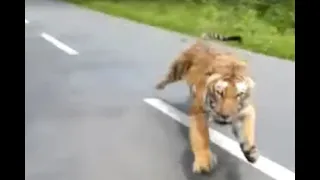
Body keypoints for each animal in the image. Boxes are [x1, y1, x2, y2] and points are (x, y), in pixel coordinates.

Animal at [156, 32, 260, 174]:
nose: (225, 116)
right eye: (220, 93)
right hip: (179, 68)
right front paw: (204, 162)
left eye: (239, 94)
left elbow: (247, 130)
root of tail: (204, 41)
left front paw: (250, 152)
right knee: (168, 77)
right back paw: (158, 86)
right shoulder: (199, 111)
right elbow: (201, 137)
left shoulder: (246, 110)